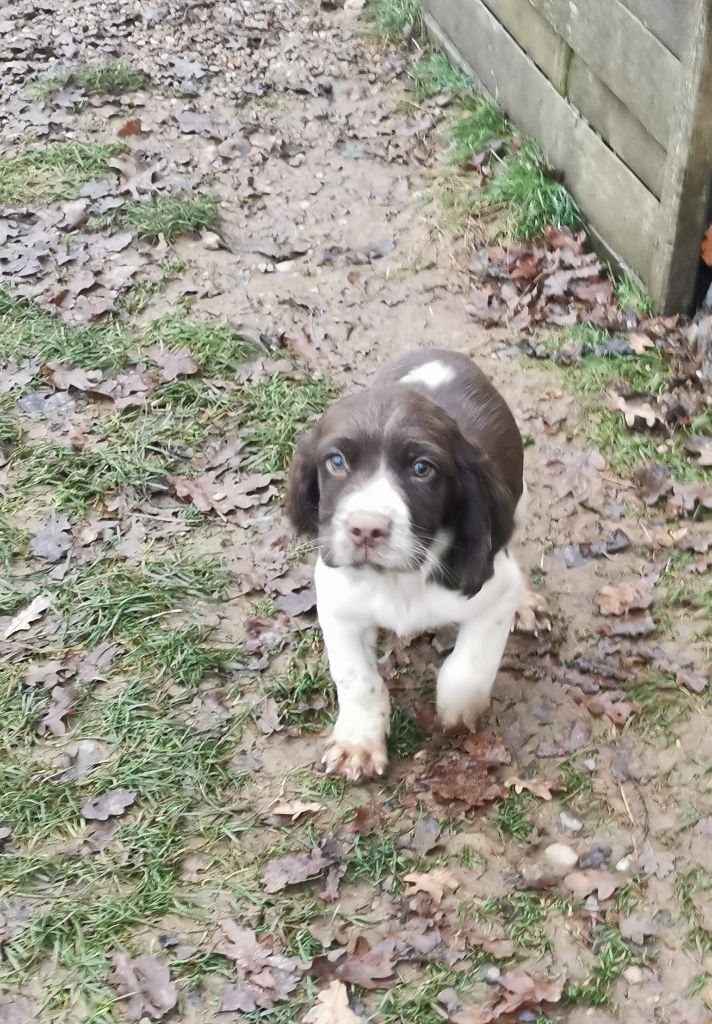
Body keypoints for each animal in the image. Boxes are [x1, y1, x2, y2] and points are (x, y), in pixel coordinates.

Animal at [286, 348, 524, 778]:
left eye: (421, 469)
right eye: (336, 461)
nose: (366, 529)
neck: (397, 580)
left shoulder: (497, 589)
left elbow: (470, 665)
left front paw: (456, 712)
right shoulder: (336, 601)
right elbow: (355, 676)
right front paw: (358, 743)